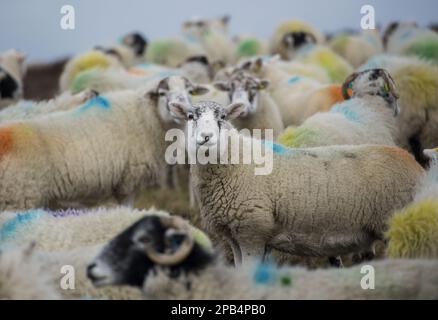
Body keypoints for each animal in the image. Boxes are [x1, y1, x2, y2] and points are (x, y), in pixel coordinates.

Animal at [0, 74, 209, 210]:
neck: (146, 116)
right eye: (162, 93)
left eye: (190, 91)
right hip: (20, 198)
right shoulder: (128, 182)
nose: (183, 109)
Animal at [168, 100, 424, 264]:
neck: (237, 163)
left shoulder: (252, 231)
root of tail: (416, 165)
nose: (206, 137)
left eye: (222, 117)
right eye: (190, 116)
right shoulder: (234, 236)